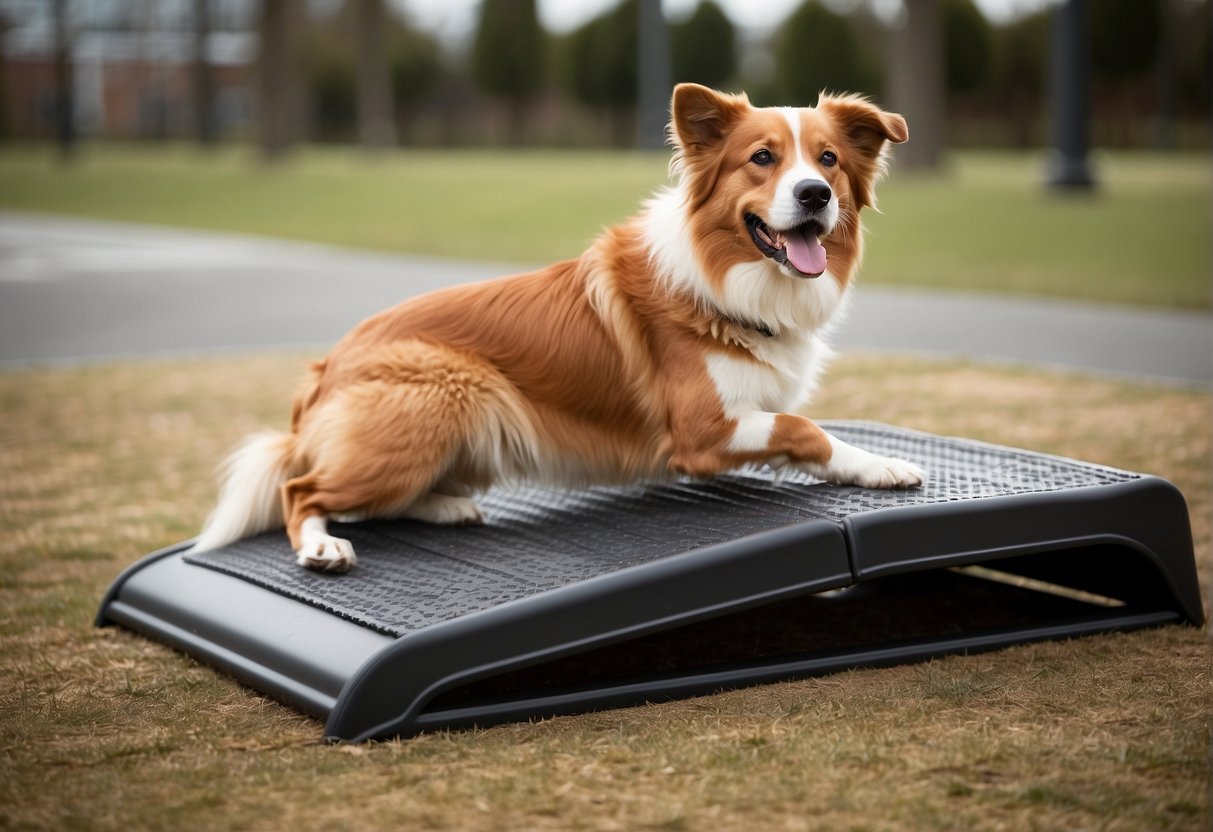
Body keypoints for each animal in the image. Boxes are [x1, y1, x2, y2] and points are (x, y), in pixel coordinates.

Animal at [189, 83, 917, 572]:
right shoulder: (700, 429)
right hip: (448, 390)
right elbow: (804, 427)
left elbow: (808, 434)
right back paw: (322, 545)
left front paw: (870, 466)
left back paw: (445, 505)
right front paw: (884, 464)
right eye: (761, 159)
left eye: (827, 160)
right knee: (301, 488)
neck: (732, 283)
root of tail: (322, 372)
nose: (814, 195)